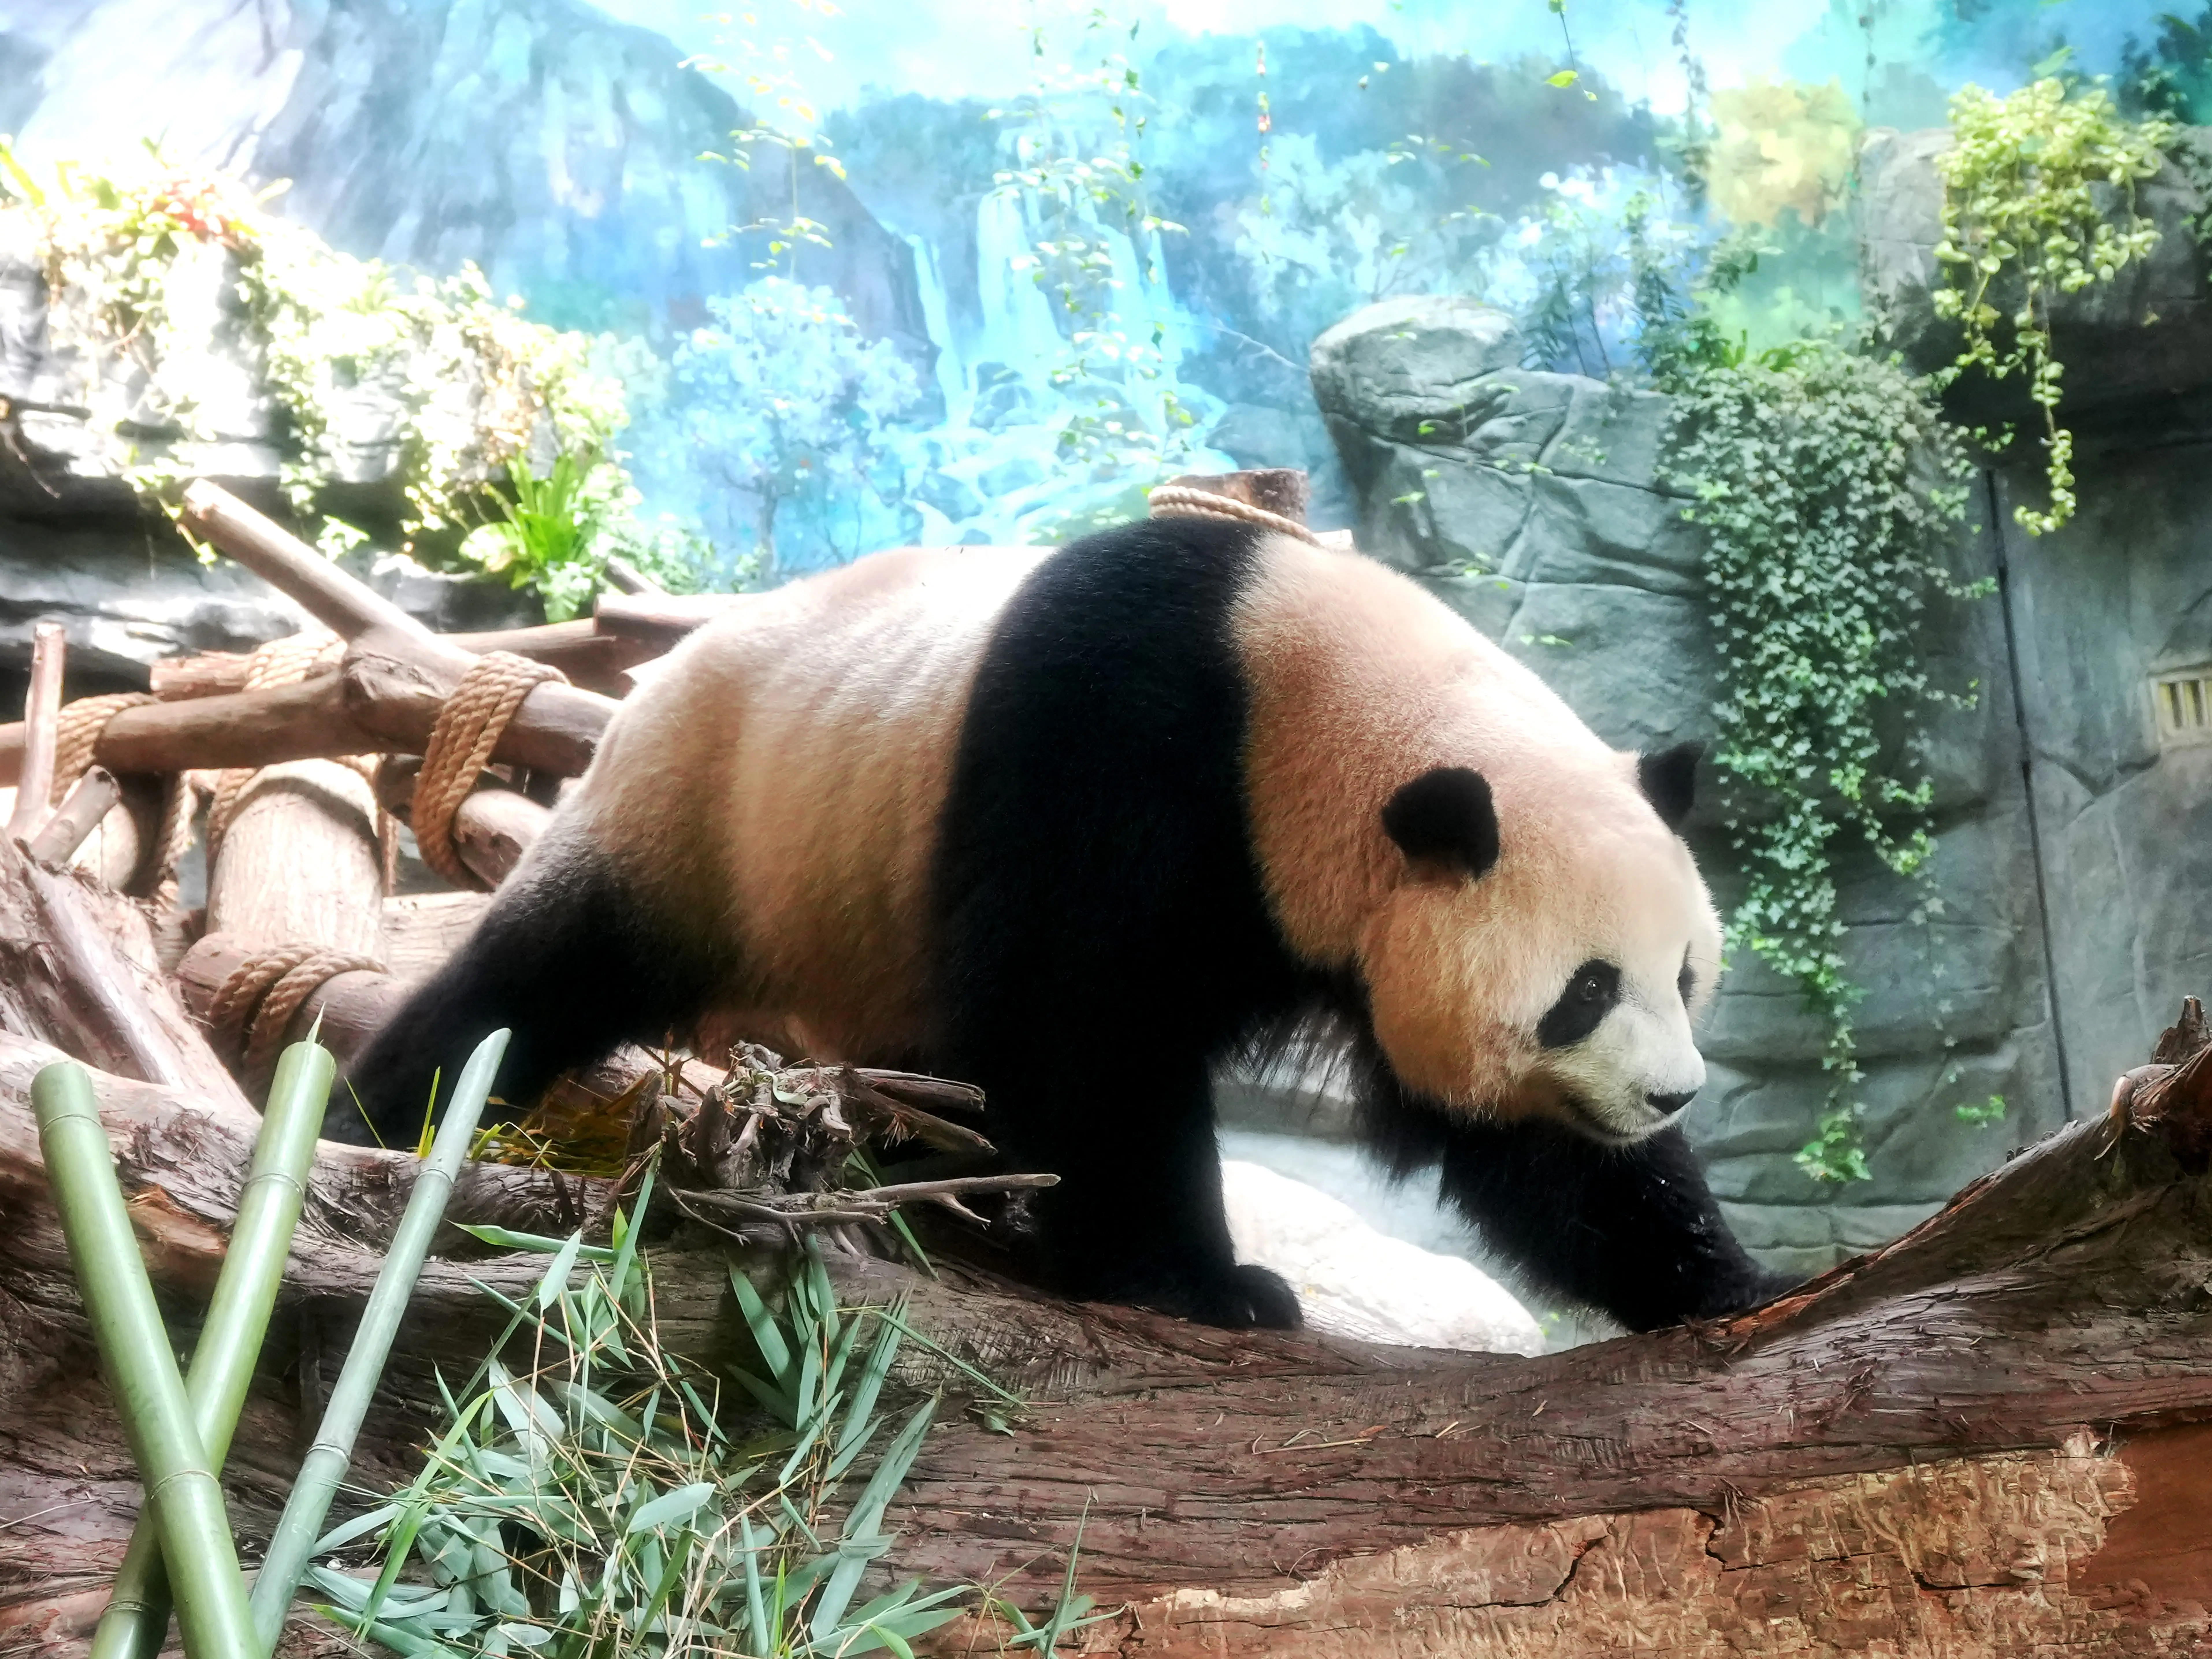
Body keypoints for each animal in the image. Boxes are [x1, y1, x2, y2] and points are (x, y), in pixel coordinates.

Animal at [340, 515, 1791, 1332]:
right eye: (1585, 989)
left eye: (1684, 975)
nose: (1671, 1093)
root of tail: (658, 671)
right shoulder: (1120, 745)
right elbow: (1085, 1030)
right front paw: (1200, 1282)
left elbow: (1535, 1153)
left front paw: (1723, 1283)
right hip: (709, 805)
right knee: (546, 974)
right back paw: (389, 1108)